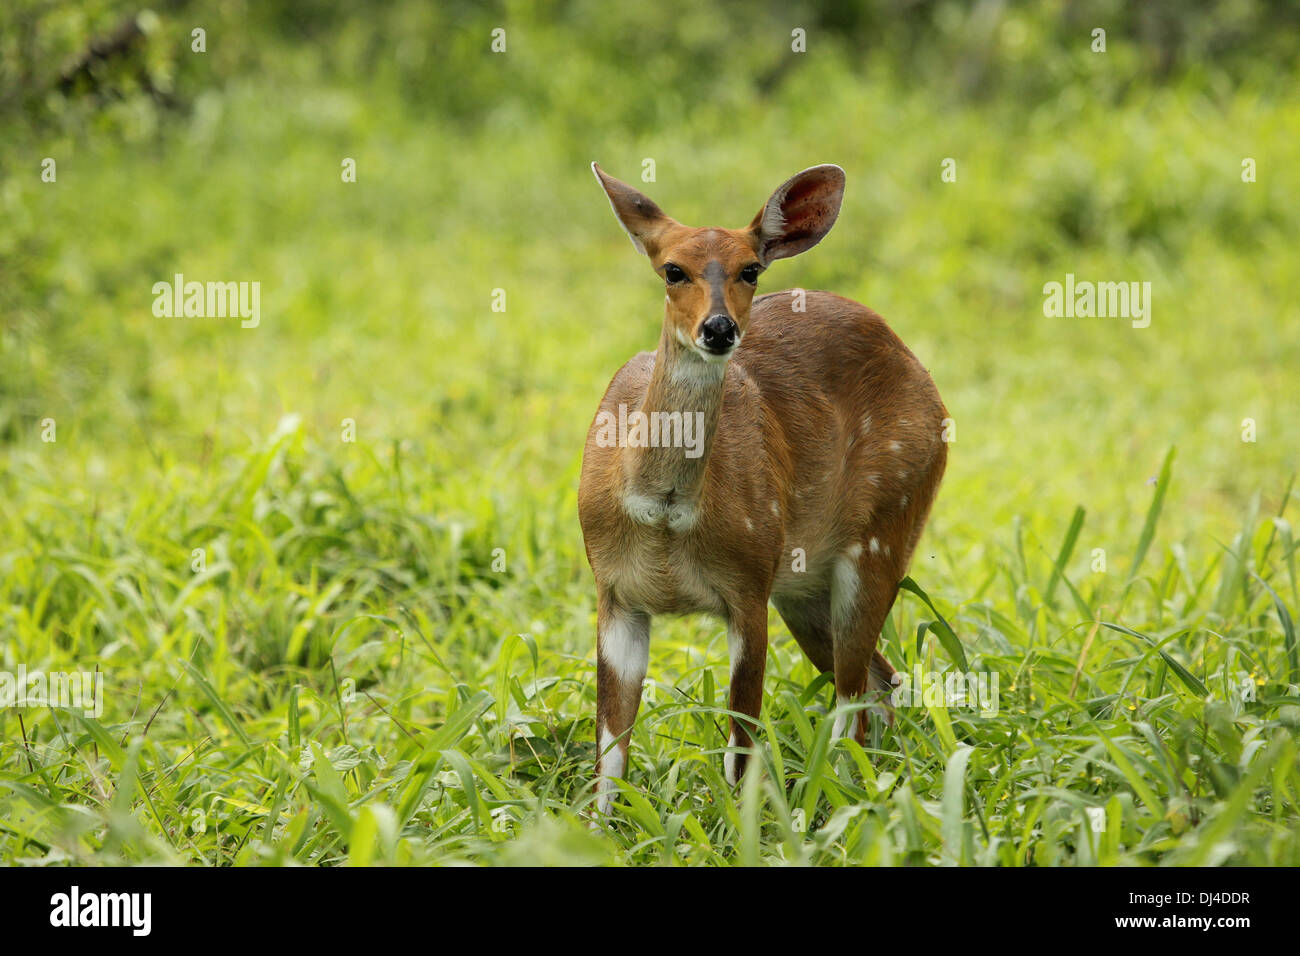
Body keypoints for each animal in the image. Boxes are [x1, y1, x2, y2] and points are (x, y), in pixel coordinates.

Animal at [579, 162, 946, 806]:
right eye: (672, 270)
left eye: (751, 269)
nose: (719, 328)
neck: (664, 511)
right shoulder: (615, 595)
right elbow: (610, 756)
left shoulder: (747, 588)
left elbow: (741, 745)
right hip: (802, 588)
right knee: (879, 679)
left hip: (881, 534)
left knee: (856, 694)